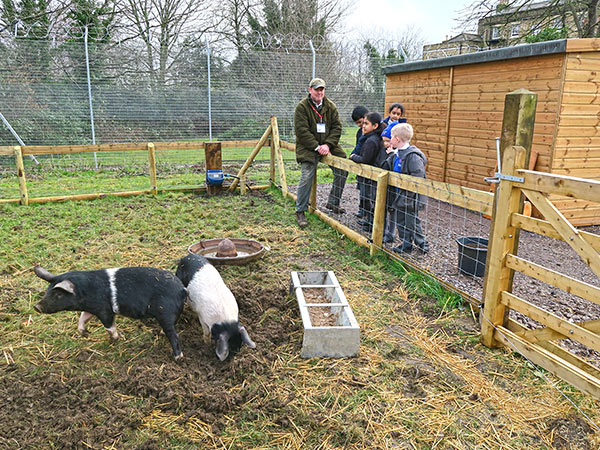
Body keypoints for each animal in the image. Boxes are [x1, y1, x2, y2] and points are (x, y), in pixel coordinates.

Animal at [32, 266, 186, 360]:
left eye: (58, 294)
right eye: (47, 290)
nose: (36, 307)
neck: (86, 291)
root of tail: (182, 289)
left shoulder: (104, 310)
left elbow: (109, 326)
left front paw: (116, 339)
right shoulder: (91, 308)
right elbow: (82, 318)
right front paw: (85, 333)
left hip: (165, 312)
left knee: (174, 335)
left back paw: (178, 358)